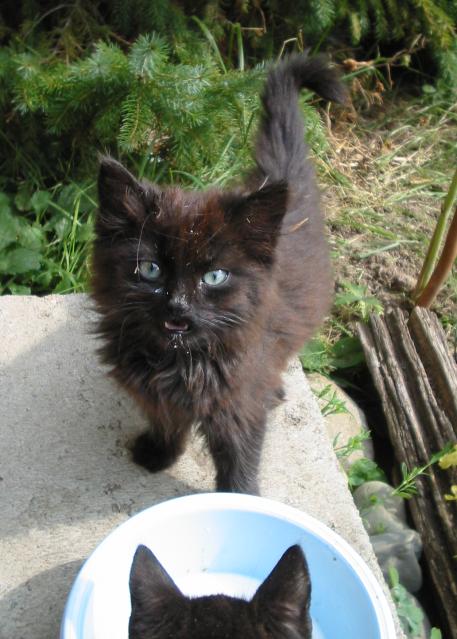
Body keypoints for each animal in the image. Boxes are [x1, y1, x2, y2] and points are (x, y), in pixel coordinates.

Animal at [92, 54, 347, 494]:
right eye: (150, 269)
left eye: (214, 277)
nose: (178, 305)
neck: (178, 362)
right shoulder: (153, 392)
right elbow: (167, 420)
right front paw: (159, 454)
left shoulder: (238, 402)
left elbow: (238, 458)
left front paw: (242, 498)